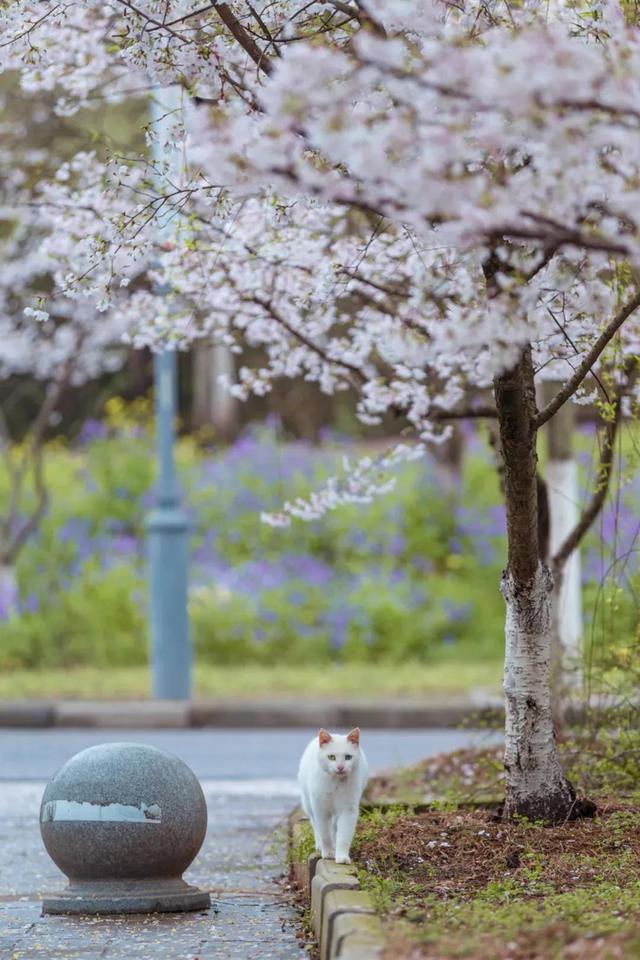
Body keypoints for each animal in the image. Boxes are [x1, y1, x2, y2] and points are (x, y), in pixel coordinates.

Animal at [298, 728, 368, 864]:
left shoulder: (348, 810)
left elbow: (344, 835)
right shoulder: (321, 809)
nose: (340, 767)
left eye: (348, 757)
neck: (336, 783)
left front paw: (341, 856)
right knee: (316, 826)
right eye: (331, 757)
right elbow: (324, 833)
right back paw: (320, 846)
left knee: (335, 827)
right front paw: (328, 852)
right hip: (309, 805)